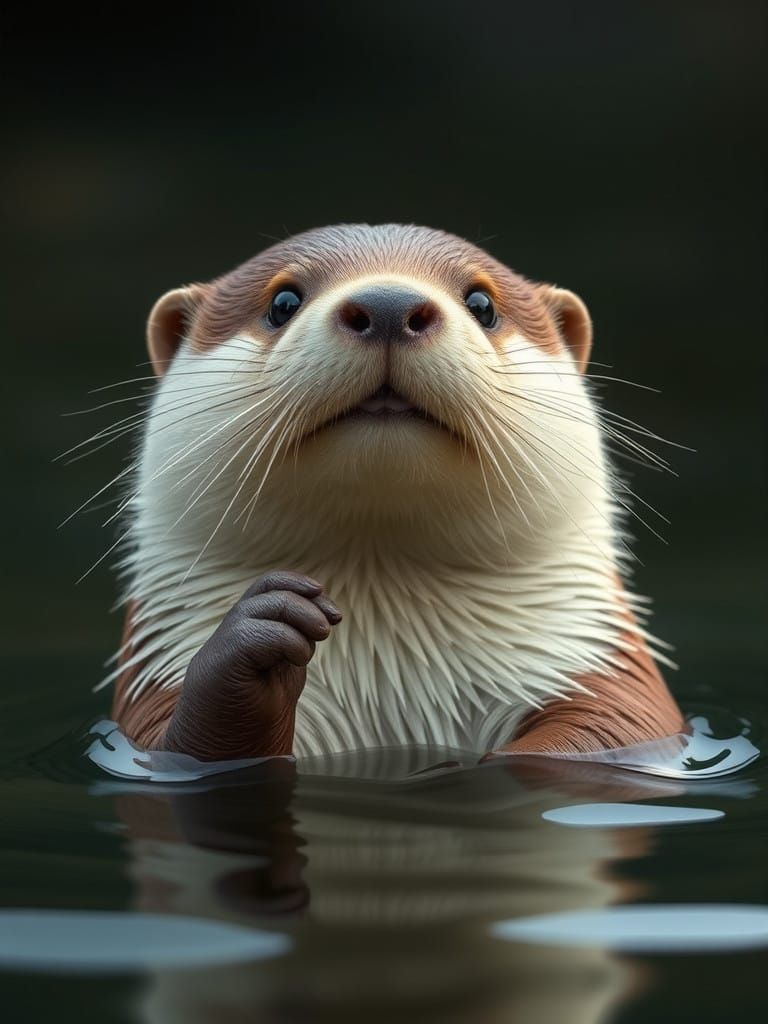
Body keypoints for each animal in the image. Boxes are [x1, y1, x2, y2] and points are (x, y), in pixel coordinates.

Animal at [108, 224, 683, 761]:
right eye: (283, 302)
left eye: (482, 304)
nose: (388, 305)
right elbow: (182, 743)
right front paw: (255, 635)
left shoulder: (599, 678)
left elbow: (602, 733)